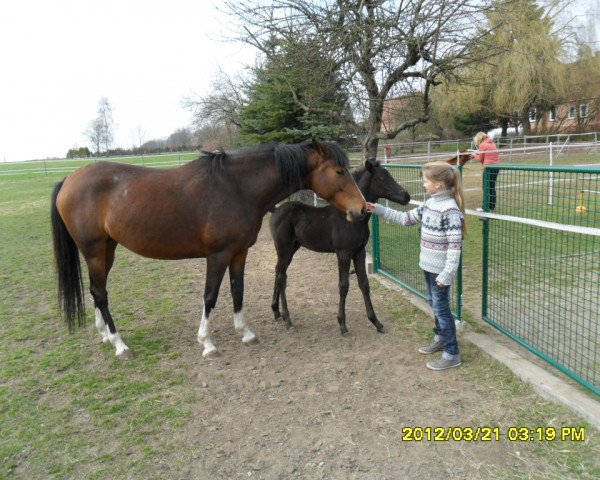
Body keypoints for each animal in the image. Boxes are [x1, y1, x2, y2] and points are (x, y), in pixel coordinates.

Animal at [51, 139, 366, 356]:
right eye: (339, 171)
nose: (362, 210)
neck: (237, 188)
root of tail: (69, 179)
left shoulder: (239, 252)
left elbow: (238, 290)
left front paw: (245, 333)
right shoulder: (218, 255)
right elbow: (210, 296)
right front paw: (207, 343)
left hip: (107, 249)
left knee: (98, 290)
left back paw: (105, 334)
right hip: (93, 250)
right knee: (100, 293)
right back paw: (119, 344)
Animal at [270, 159, 410, 336]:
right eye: (382, 178)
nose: (406, 196)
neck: (352, 219)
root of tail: (275, 210)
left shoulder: (359, 252)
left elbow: (364, 284)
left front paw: (376, 322)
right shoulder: (343, 253)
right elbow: (344, 286)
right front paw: (342, 324)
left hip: (292, 248)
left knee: (278, 272)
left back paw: (276, 311)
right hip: (284, 247)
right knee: (282, 277)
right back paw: (287, 319)